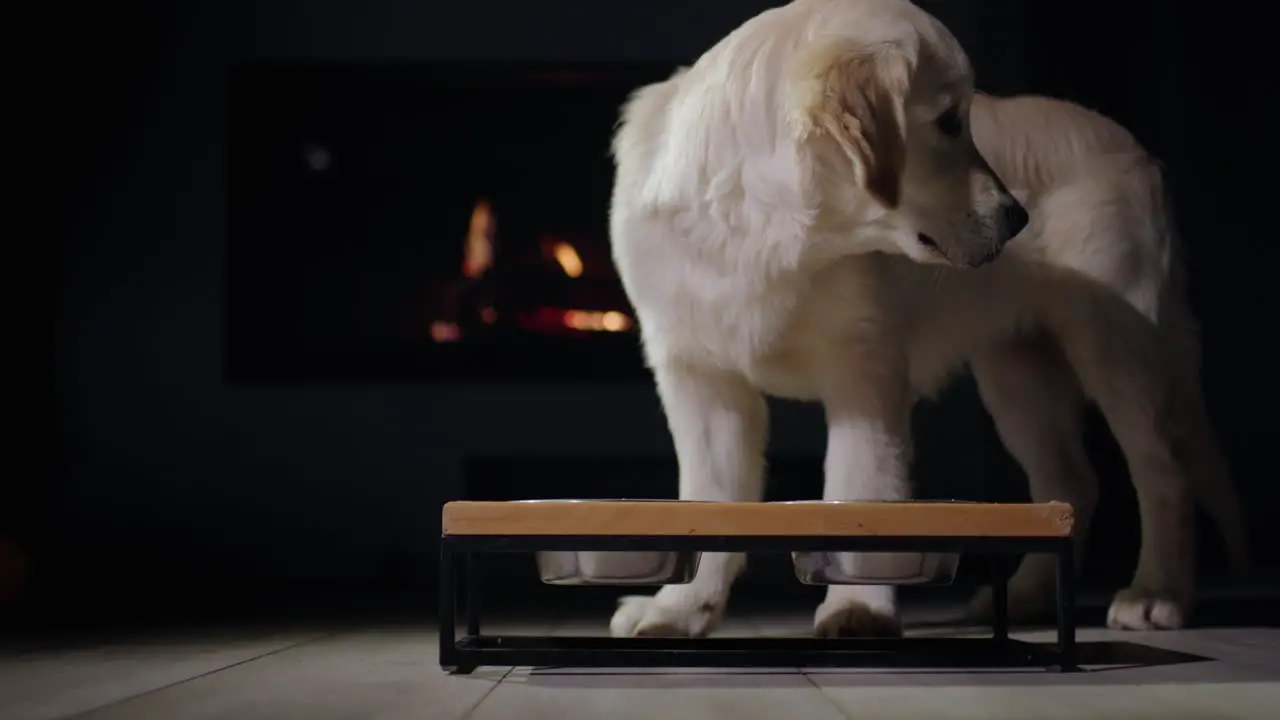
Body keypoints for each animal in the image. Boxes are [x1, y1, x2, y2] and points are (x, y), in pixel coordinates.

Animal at [604, 0, 1244, 635]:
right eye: (948, 122)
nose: (1017, 218)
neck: (763, 231)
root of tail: (1138, 150)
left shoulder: (866, 370)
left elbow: (858, 488)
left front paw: (856, 609)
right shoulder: (699, 378)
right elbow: (708, 498)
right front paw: (679, 609)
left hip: (1119, 344)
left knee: (1162, 471)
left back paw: (1156, 593)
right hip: (1018, 371)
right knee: (1070, 484)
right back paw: (1031, 595)